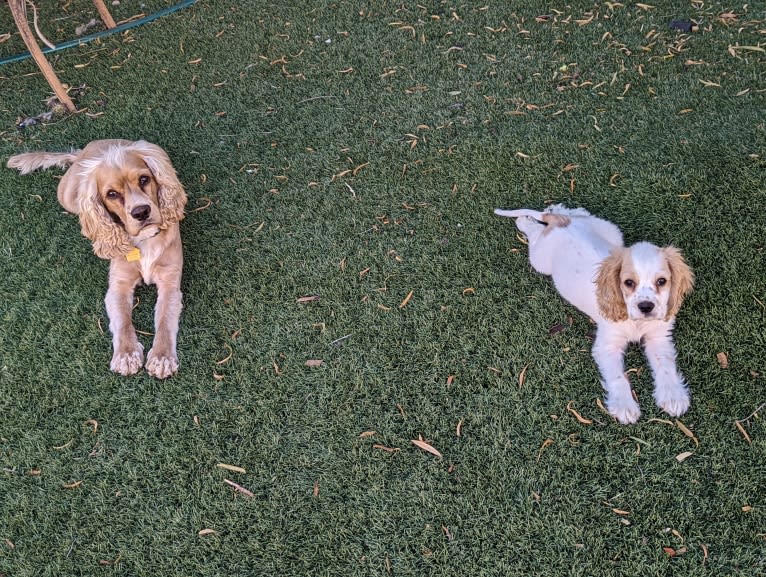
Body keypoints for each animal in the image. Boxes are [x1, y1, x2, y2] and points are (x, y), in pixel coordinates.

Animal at [7, 137, 188, 376]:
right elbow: (123, 321)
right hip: (67, 196)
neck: (145, 240)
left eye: (144, 179)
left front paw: (162, 357)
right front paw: (126, 355)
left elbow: (165, 319)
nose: (141, 212)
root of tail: (85, 151)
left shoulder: (170, 281)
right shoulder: (119, 284)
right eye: (112, 194)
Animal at [498, 205, 696, 420]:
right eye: (628, 283)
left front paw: (673, 397)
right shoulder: (607, 345)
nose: (646, 307)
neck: (635, 321)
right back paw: (525, 221)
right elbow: (617, 377)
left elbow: (665, 366)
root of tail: (561, 224)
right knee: (536, 235)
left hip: (613, 234)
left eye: (662, 281)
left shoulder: (658, 337)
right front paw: (624, 406)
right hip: (540, 259)